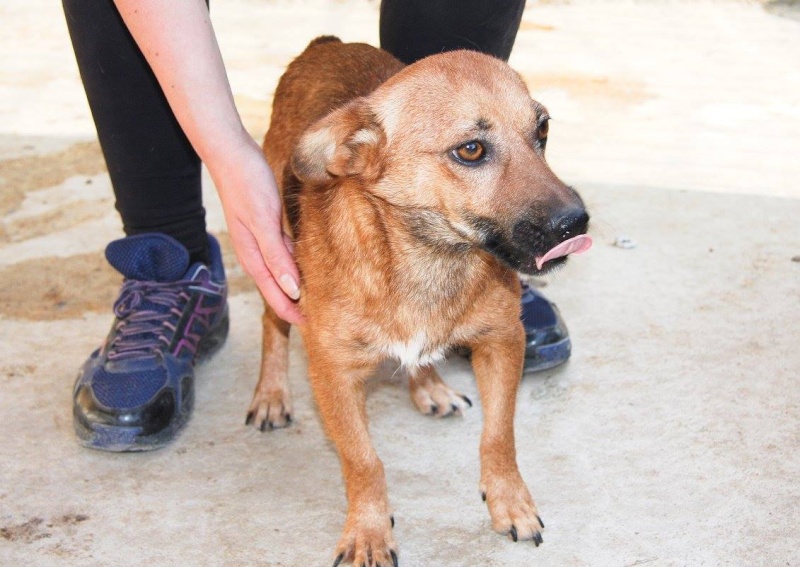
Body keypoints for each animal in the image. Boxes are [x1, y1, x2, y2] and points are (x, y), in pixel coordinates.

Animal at [247, 37, 592, 564]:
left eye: (543, 129)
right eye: (471, 149)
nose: (575, 223)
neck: (432, 258)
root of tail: (327, 43)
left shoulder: (502, 342)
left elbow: (499, 436)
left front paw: (510, 503)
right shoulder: (333, 375)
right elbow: (363, 461)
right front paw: (368, 531)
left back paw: (429, 384)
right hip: (277, 260)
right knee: (272, 324)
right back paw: (270, 395)